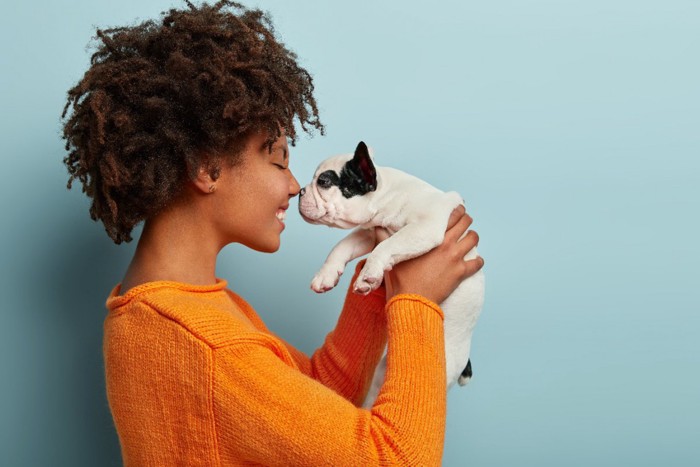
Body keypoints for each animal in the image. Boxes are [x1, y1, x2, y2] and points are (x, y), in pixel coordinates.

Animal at [298, 141, 484, 408]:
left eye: (323, 181)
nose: (300, 191)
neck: (387, 197)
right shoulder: (367, 234)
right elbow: (342, 246)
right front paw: (326, 275)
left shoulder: (424, 228)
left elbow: (386, 246)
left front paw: (368, 276)